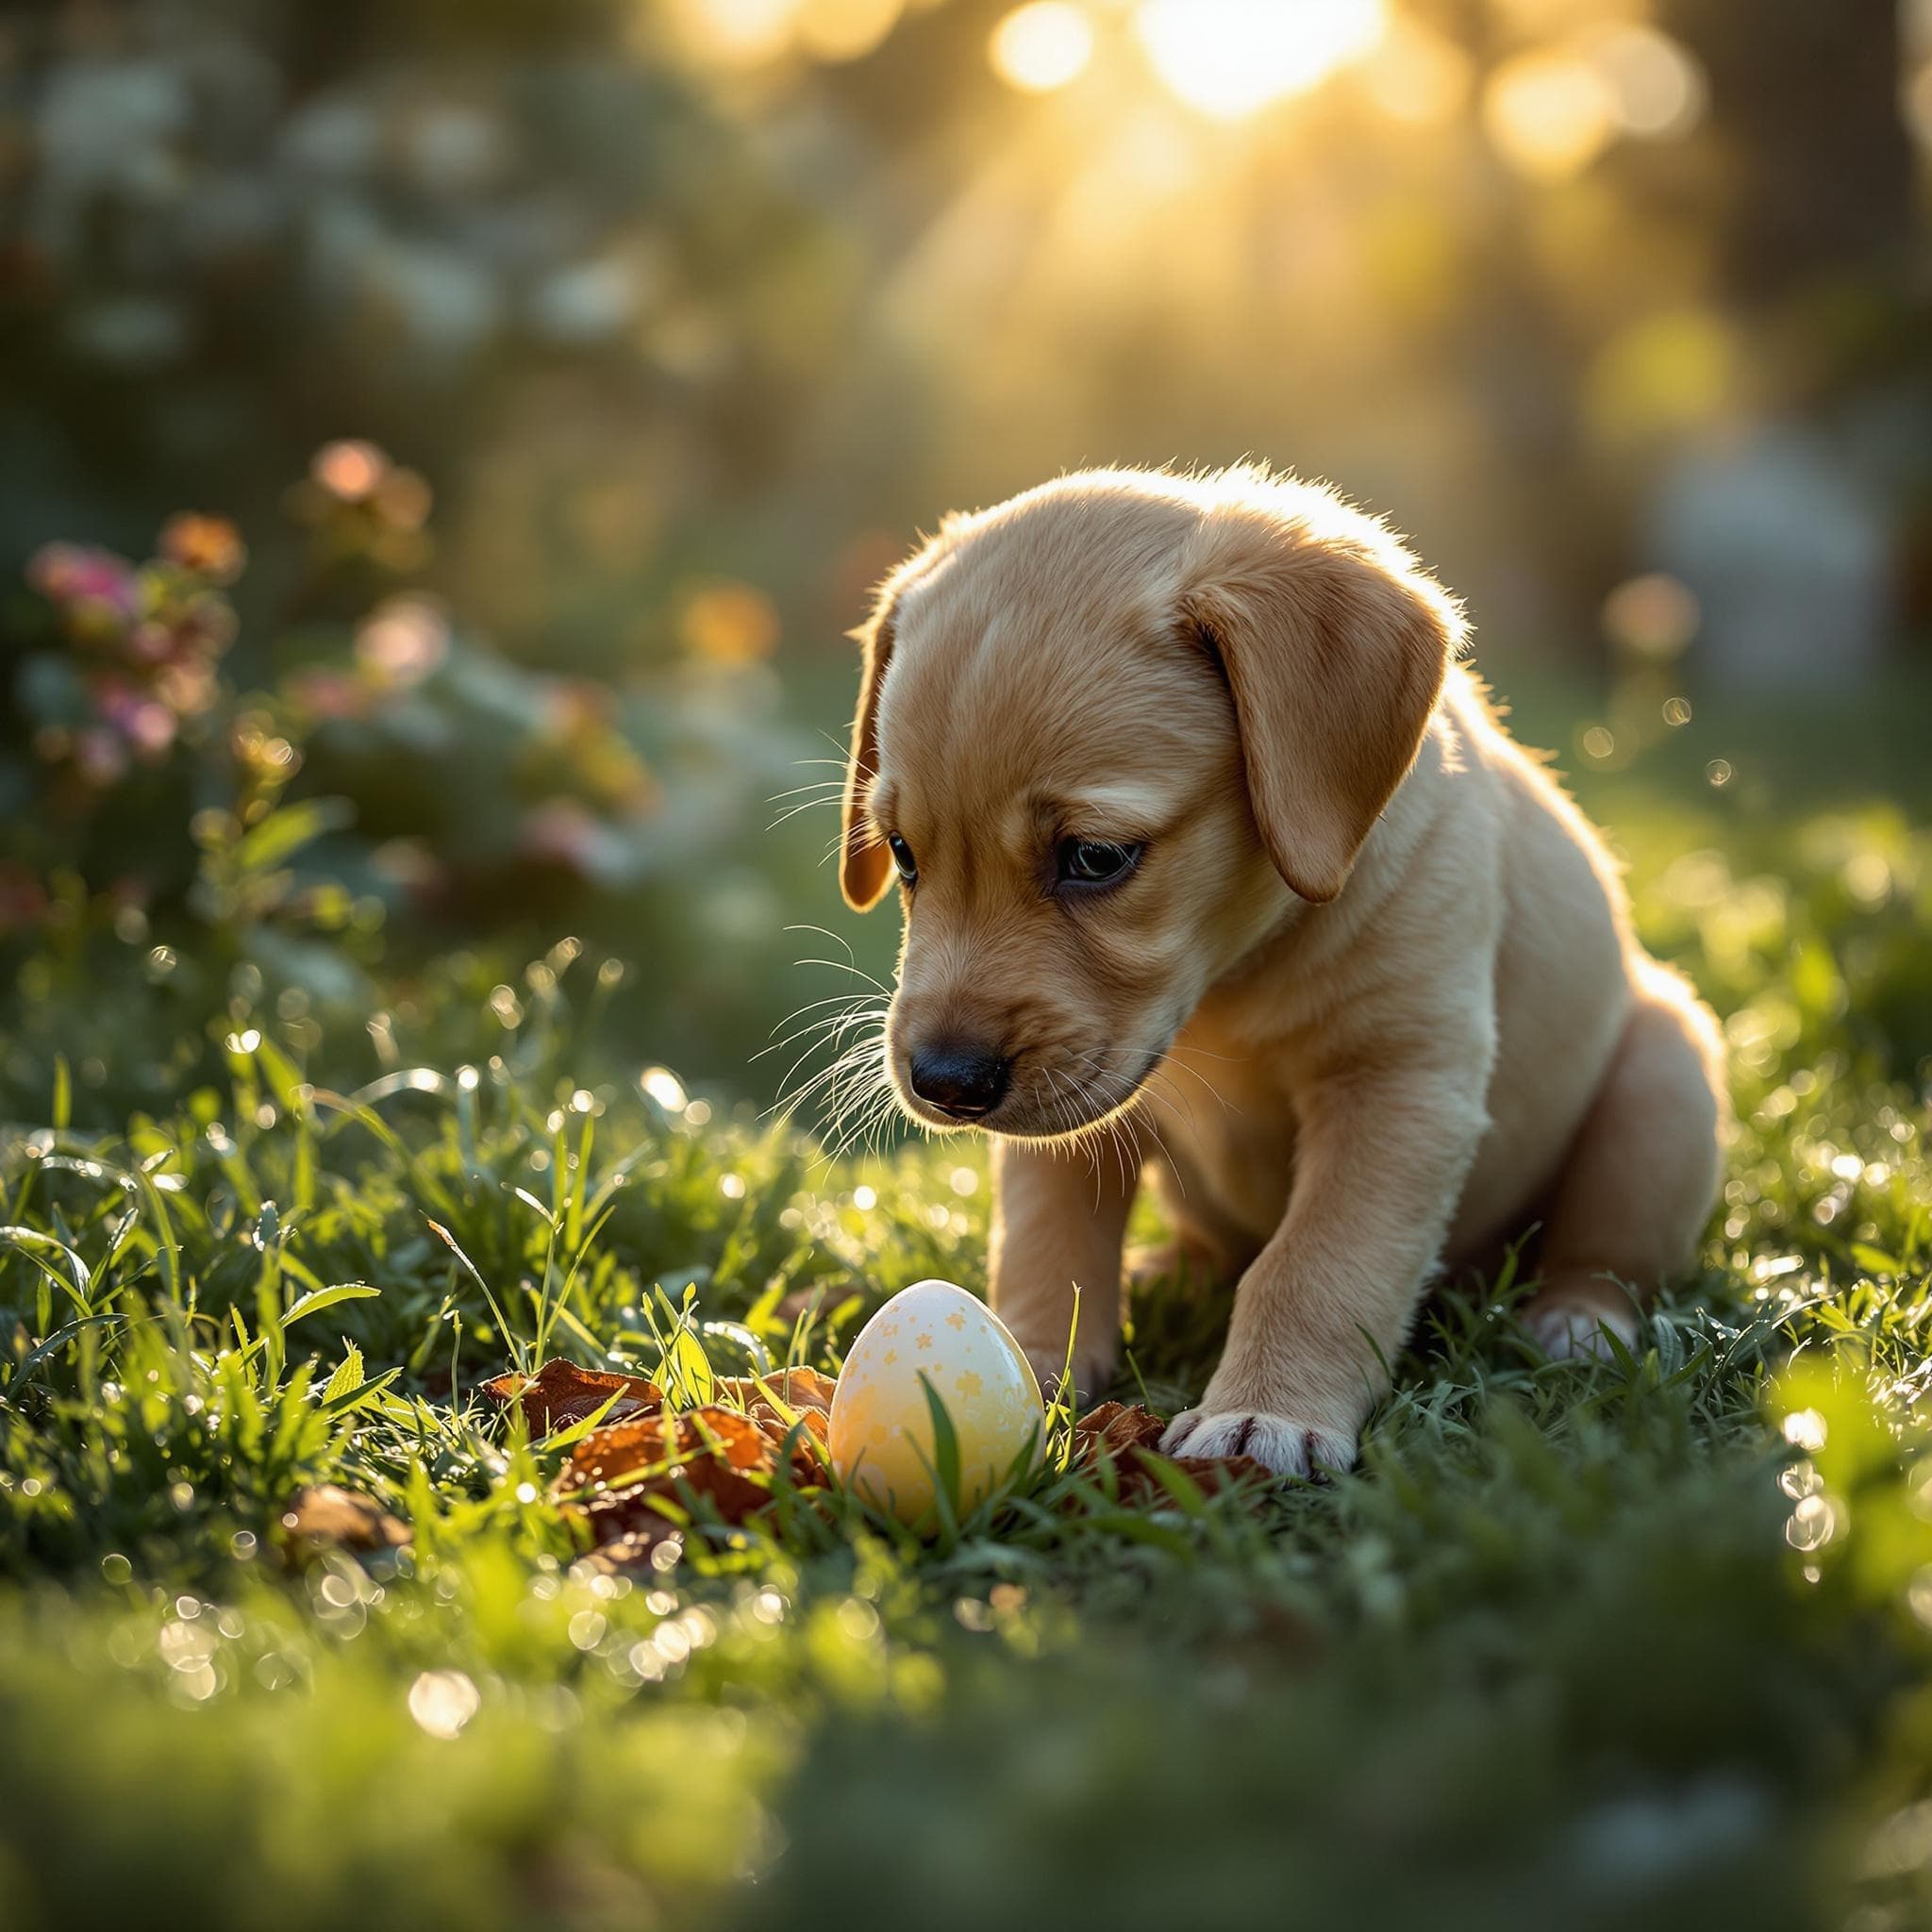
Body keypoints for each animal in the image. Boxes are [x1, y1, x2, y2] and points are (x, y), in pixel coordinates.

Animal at [838, 467, 1731, 1475]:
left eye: (1096, 857)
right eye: (902, 855)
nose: (945, 1083)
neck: (1232, 980)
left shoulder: (1397, 1085)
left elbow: (1316, 1265)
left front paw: (1268, 1413)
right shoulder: (1068, 1121)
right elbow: (1046, 1243)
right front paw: (1033, 1362)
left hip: (1662, 1083)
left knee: (1606, 1256)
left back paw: (1576, 1322)